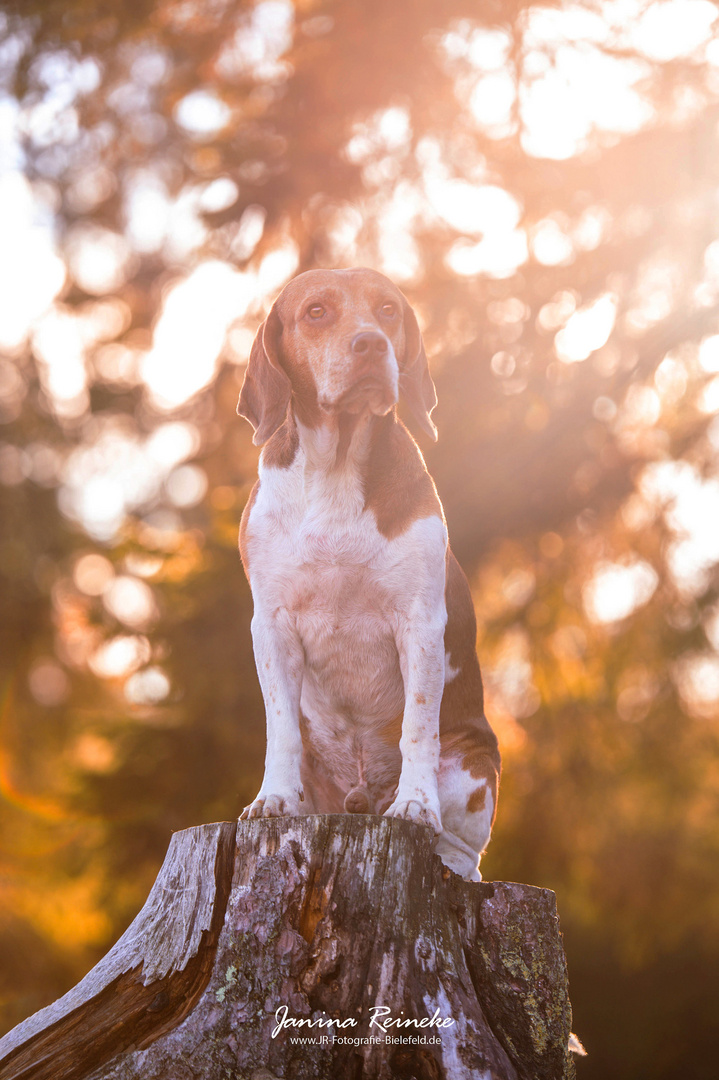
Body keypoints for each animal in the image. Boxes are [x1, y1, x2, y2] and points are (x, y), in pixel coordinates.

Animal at [235, 265, 498, 881]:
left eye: (387, 310)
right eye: (316, 312)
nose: (372, 345)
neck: (335, 469)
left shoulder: (420, 623)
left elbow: (418, 728)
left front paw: (415, 804)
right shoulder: (271, 626)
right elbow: (280, 729)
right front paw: (273, 797)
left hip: (475, 769)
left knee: (464, 852)